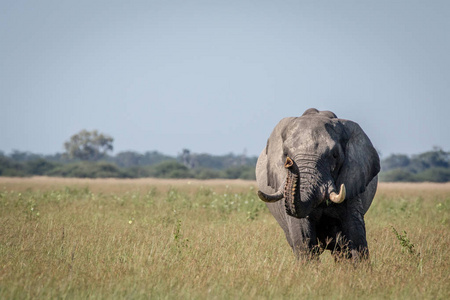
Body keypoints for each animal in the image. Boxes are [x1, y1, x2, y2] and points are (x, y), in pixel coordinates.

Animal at [256, 108, 380, 260]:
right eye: (286, 154)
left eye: (334, 155)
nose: (289, 163)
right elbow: (302, 236)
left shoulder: (351, 181)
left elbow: (355, 233)